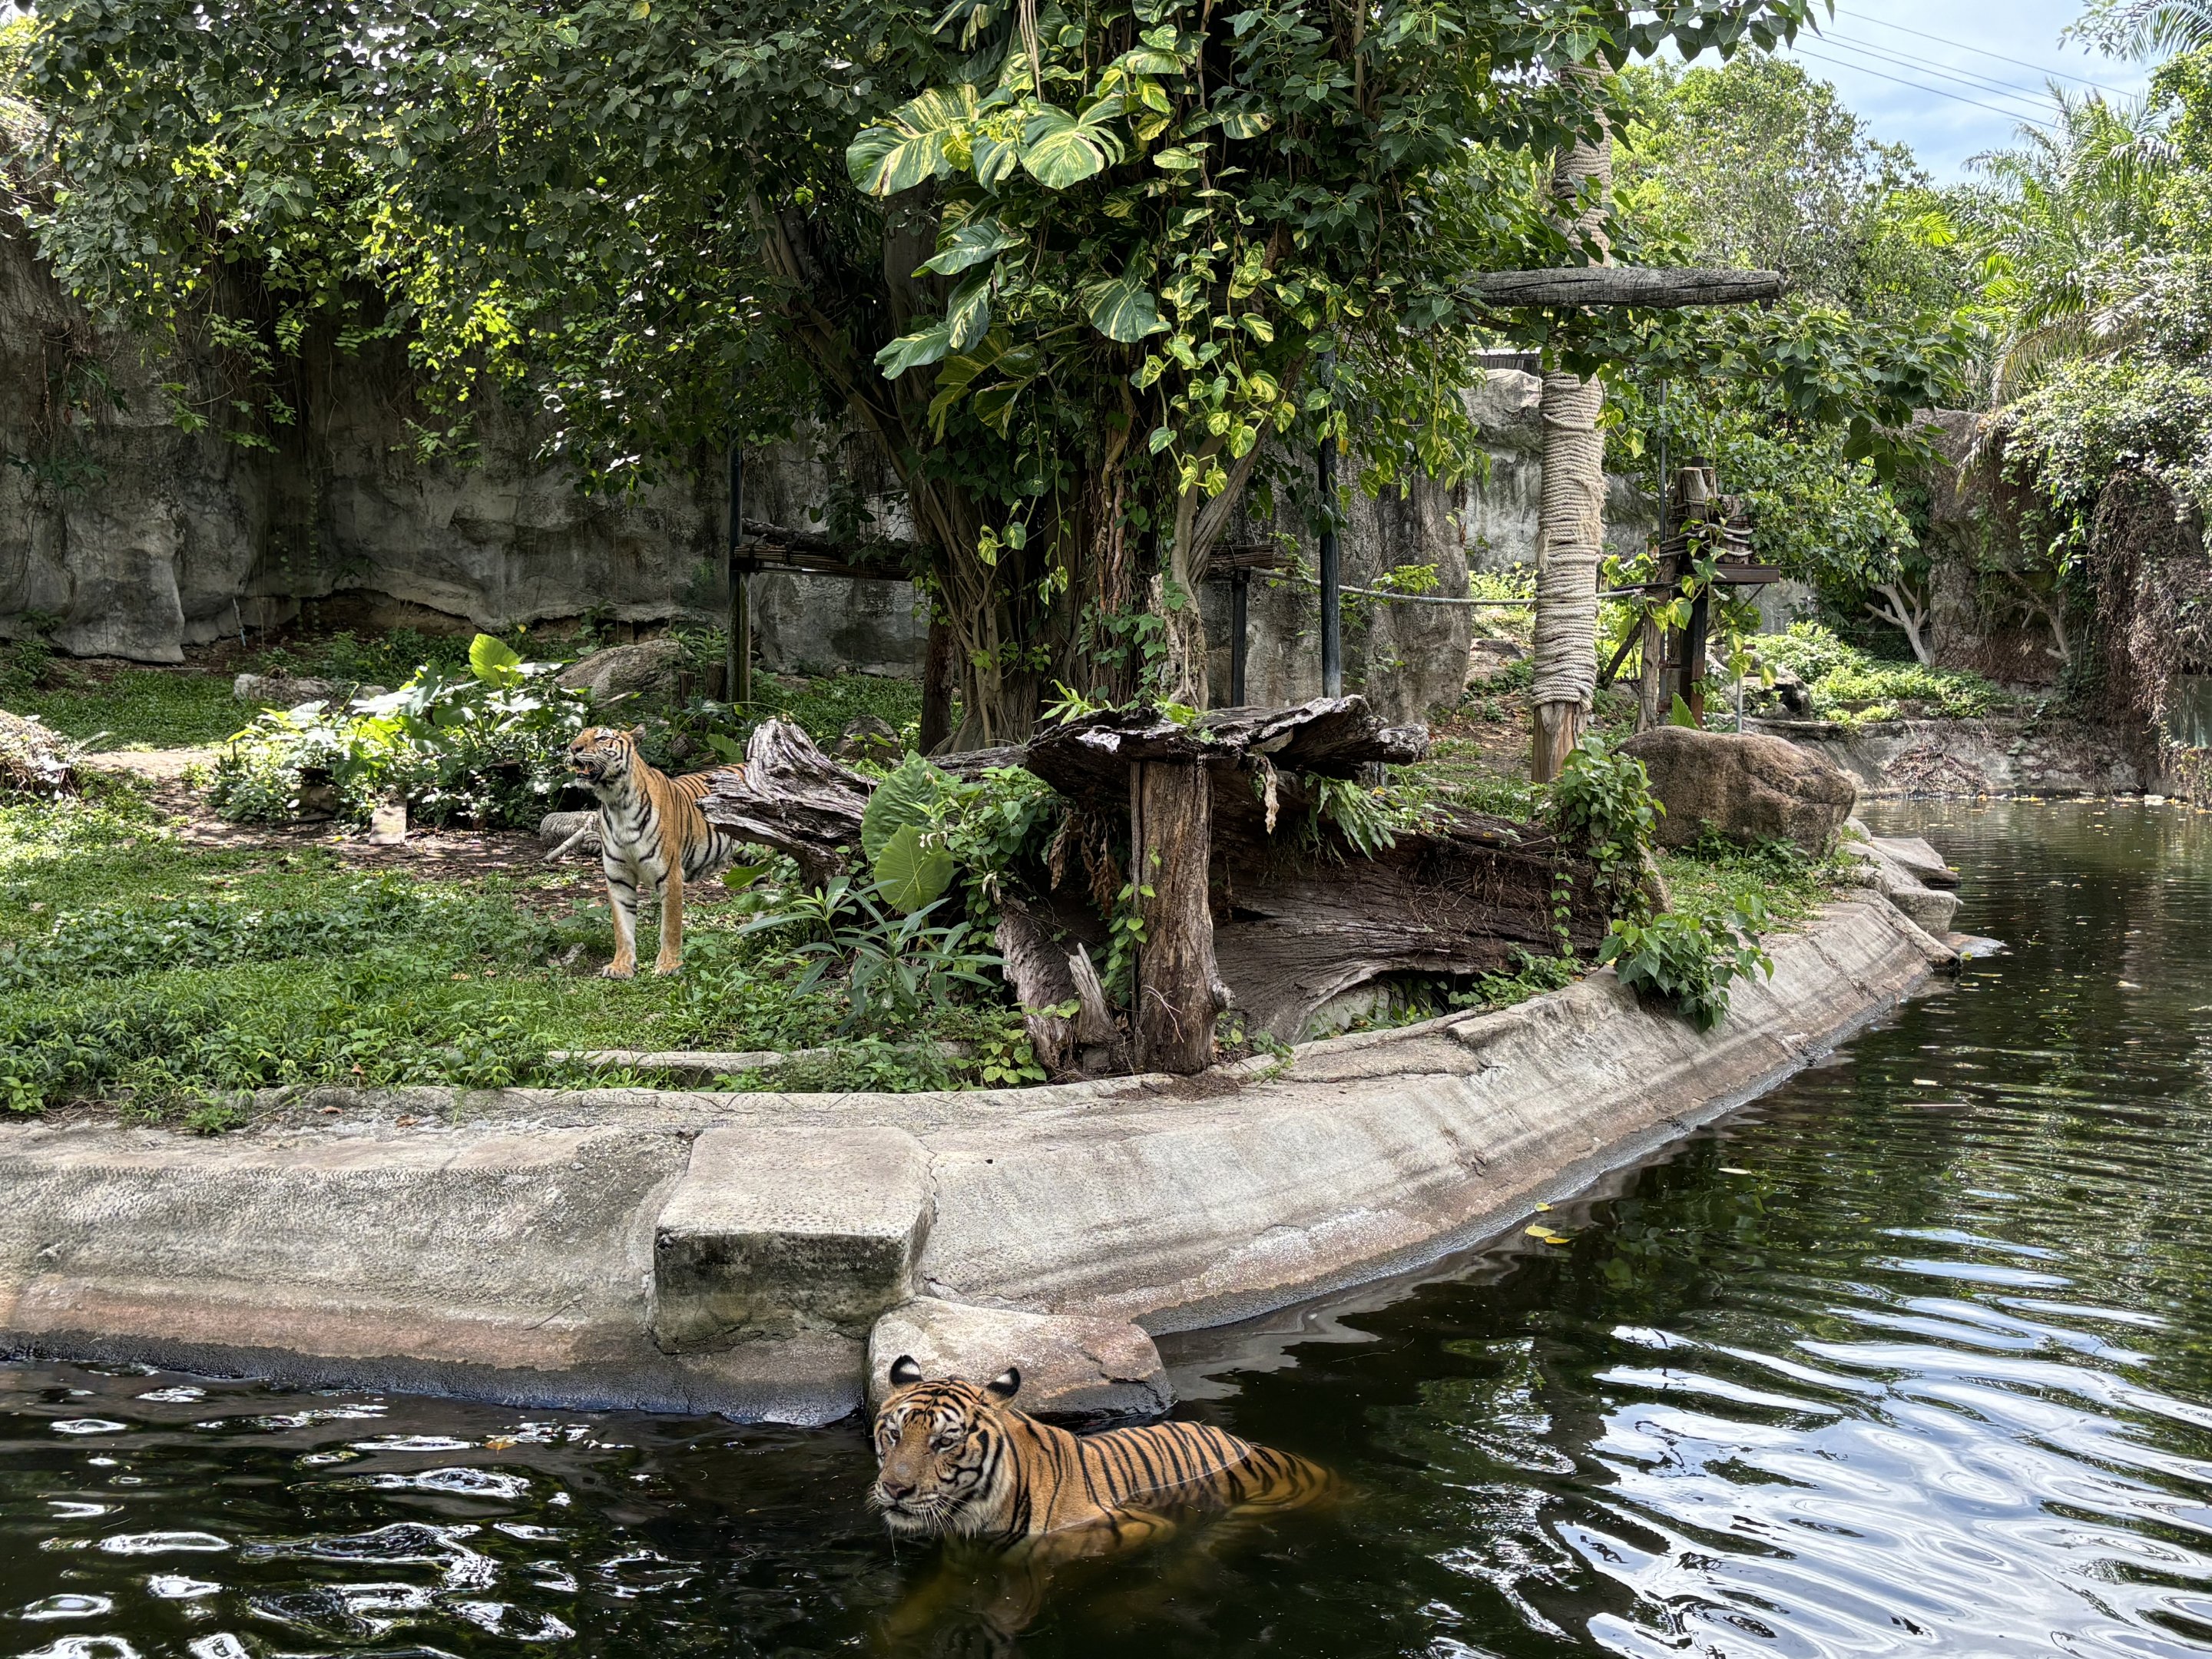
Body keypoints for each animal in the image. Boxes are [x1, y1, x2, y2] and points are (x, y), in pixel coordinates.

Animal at [565, 725, 744, 978]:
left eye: (602, 738)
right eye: (579, 735)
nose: (573, 748)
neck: (616, 802)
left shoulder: (670, 874)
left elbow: (670, 925)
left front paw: (669, 965)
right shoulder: (618, 877)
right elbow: (622, 927)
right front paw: (621, 966)